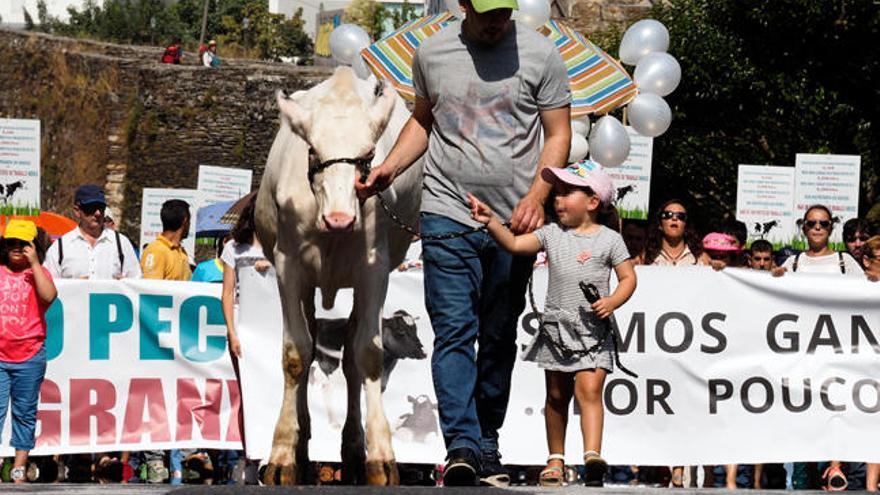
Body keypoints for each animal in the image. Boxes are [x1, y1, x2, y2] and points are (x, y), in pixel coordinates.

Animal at [254, 66, 422, 484]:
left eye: (368, 155)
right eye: (313, 150)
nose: (340, 218)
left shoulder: (374, 271)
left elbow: (367, 354)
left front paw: (380, 455)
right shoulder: (288, 267)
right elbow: (296, 353)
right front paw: (283, 452)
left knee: (349, 360)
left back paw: (353, 446)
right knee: (311, 343)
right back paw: (302, 442)